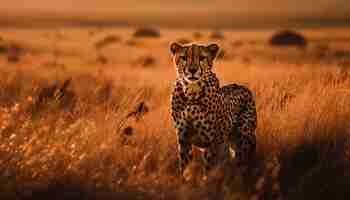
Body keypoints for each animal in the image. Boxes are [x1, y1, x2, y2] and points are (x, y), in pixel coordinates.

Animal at [170, 42, 258, 177]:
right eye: (184, 57)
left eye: (202, 58)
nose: (192, 70)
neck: (191, 92)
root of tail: (241, 86)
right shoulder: (183, 139)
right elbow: (184, 165)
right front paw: (182, 180)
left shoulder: (212, 142)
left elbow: (209, 168)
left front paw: (206, 181)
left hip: (243, 136)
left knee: (242, 163)